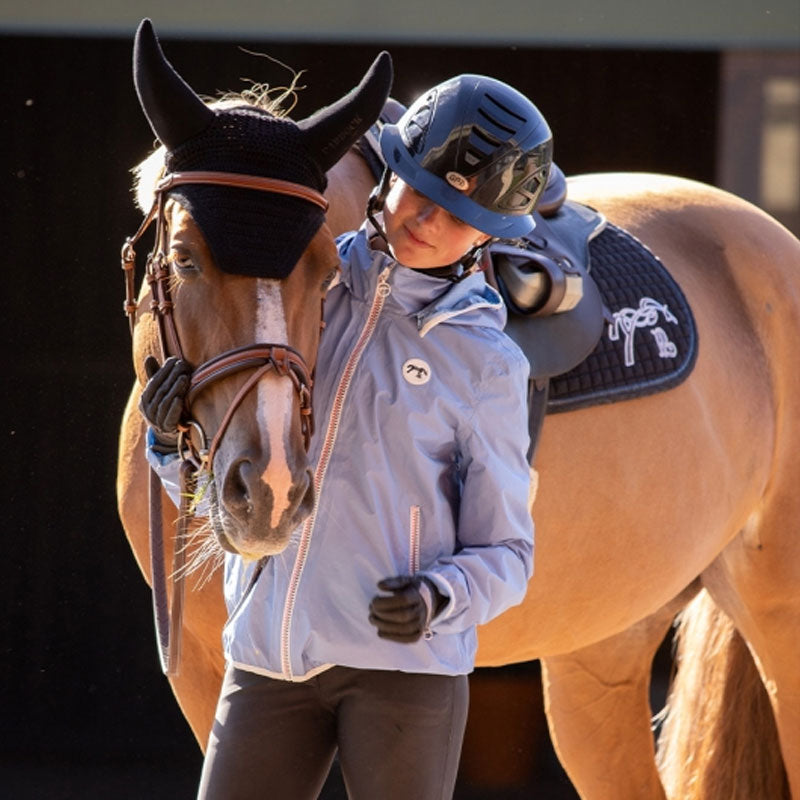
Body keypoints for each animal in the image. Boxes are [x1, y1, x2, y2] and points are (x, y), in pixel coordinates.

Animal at [115, 29, 800, 800]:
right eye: (184, 260)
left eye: (323, 271)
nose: (272, 492)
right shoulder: (212, 676)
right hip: (598, 653)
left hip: (781, 628)